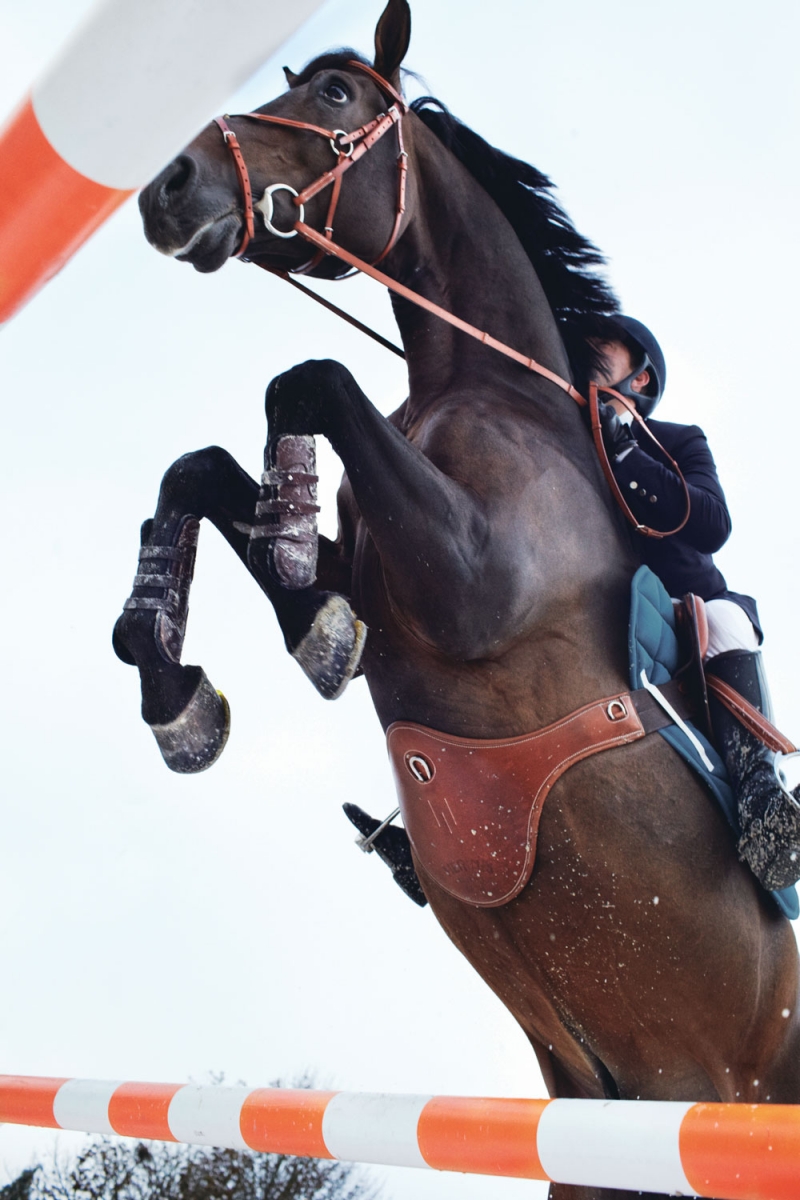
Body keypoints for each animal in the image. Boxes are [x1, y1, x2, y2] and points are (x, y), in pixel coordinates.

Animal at [118, 4, 800, 1195]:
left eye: (337, 96)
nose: (171, 185)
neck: (490, 391)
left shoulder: (475, 590)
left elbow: (307, 383)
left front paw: (286, 590)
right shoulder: (385, 583)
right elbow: (202, 472)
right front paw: (180, 688)